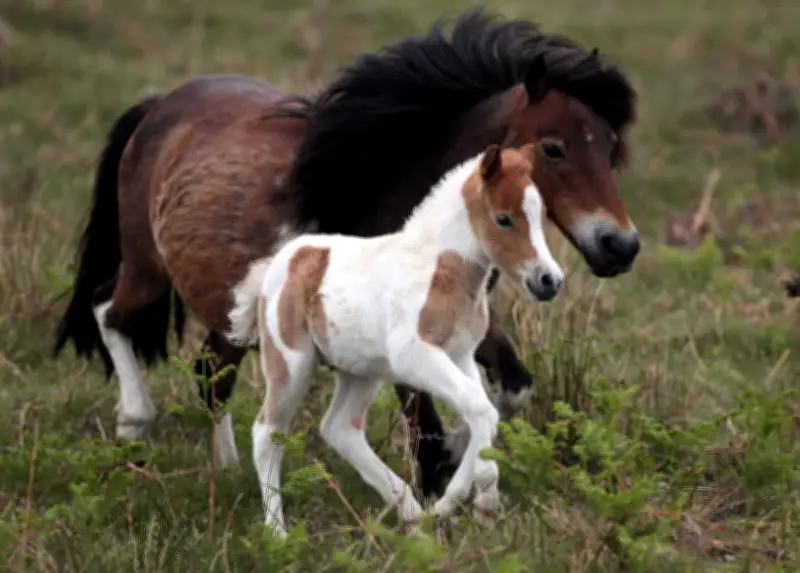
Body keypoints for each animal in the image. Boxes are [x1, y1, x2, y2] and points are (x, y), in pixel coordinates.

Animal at [227, 143, 564, 535]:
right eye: (503, 219)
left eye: (541, 215)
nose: (549, 280)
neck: (440, 270)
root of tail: (282, 260)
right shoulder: (414, 356)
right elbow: (480, 410)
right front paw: (456, 503)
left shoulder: (461, 355)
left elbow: (481, 413)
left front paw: (481, 502)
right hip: (292, 363)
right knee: (267, 433)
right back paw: (279, 534)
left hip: (362, 372)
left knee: (339, 428)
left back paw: (413, 516)